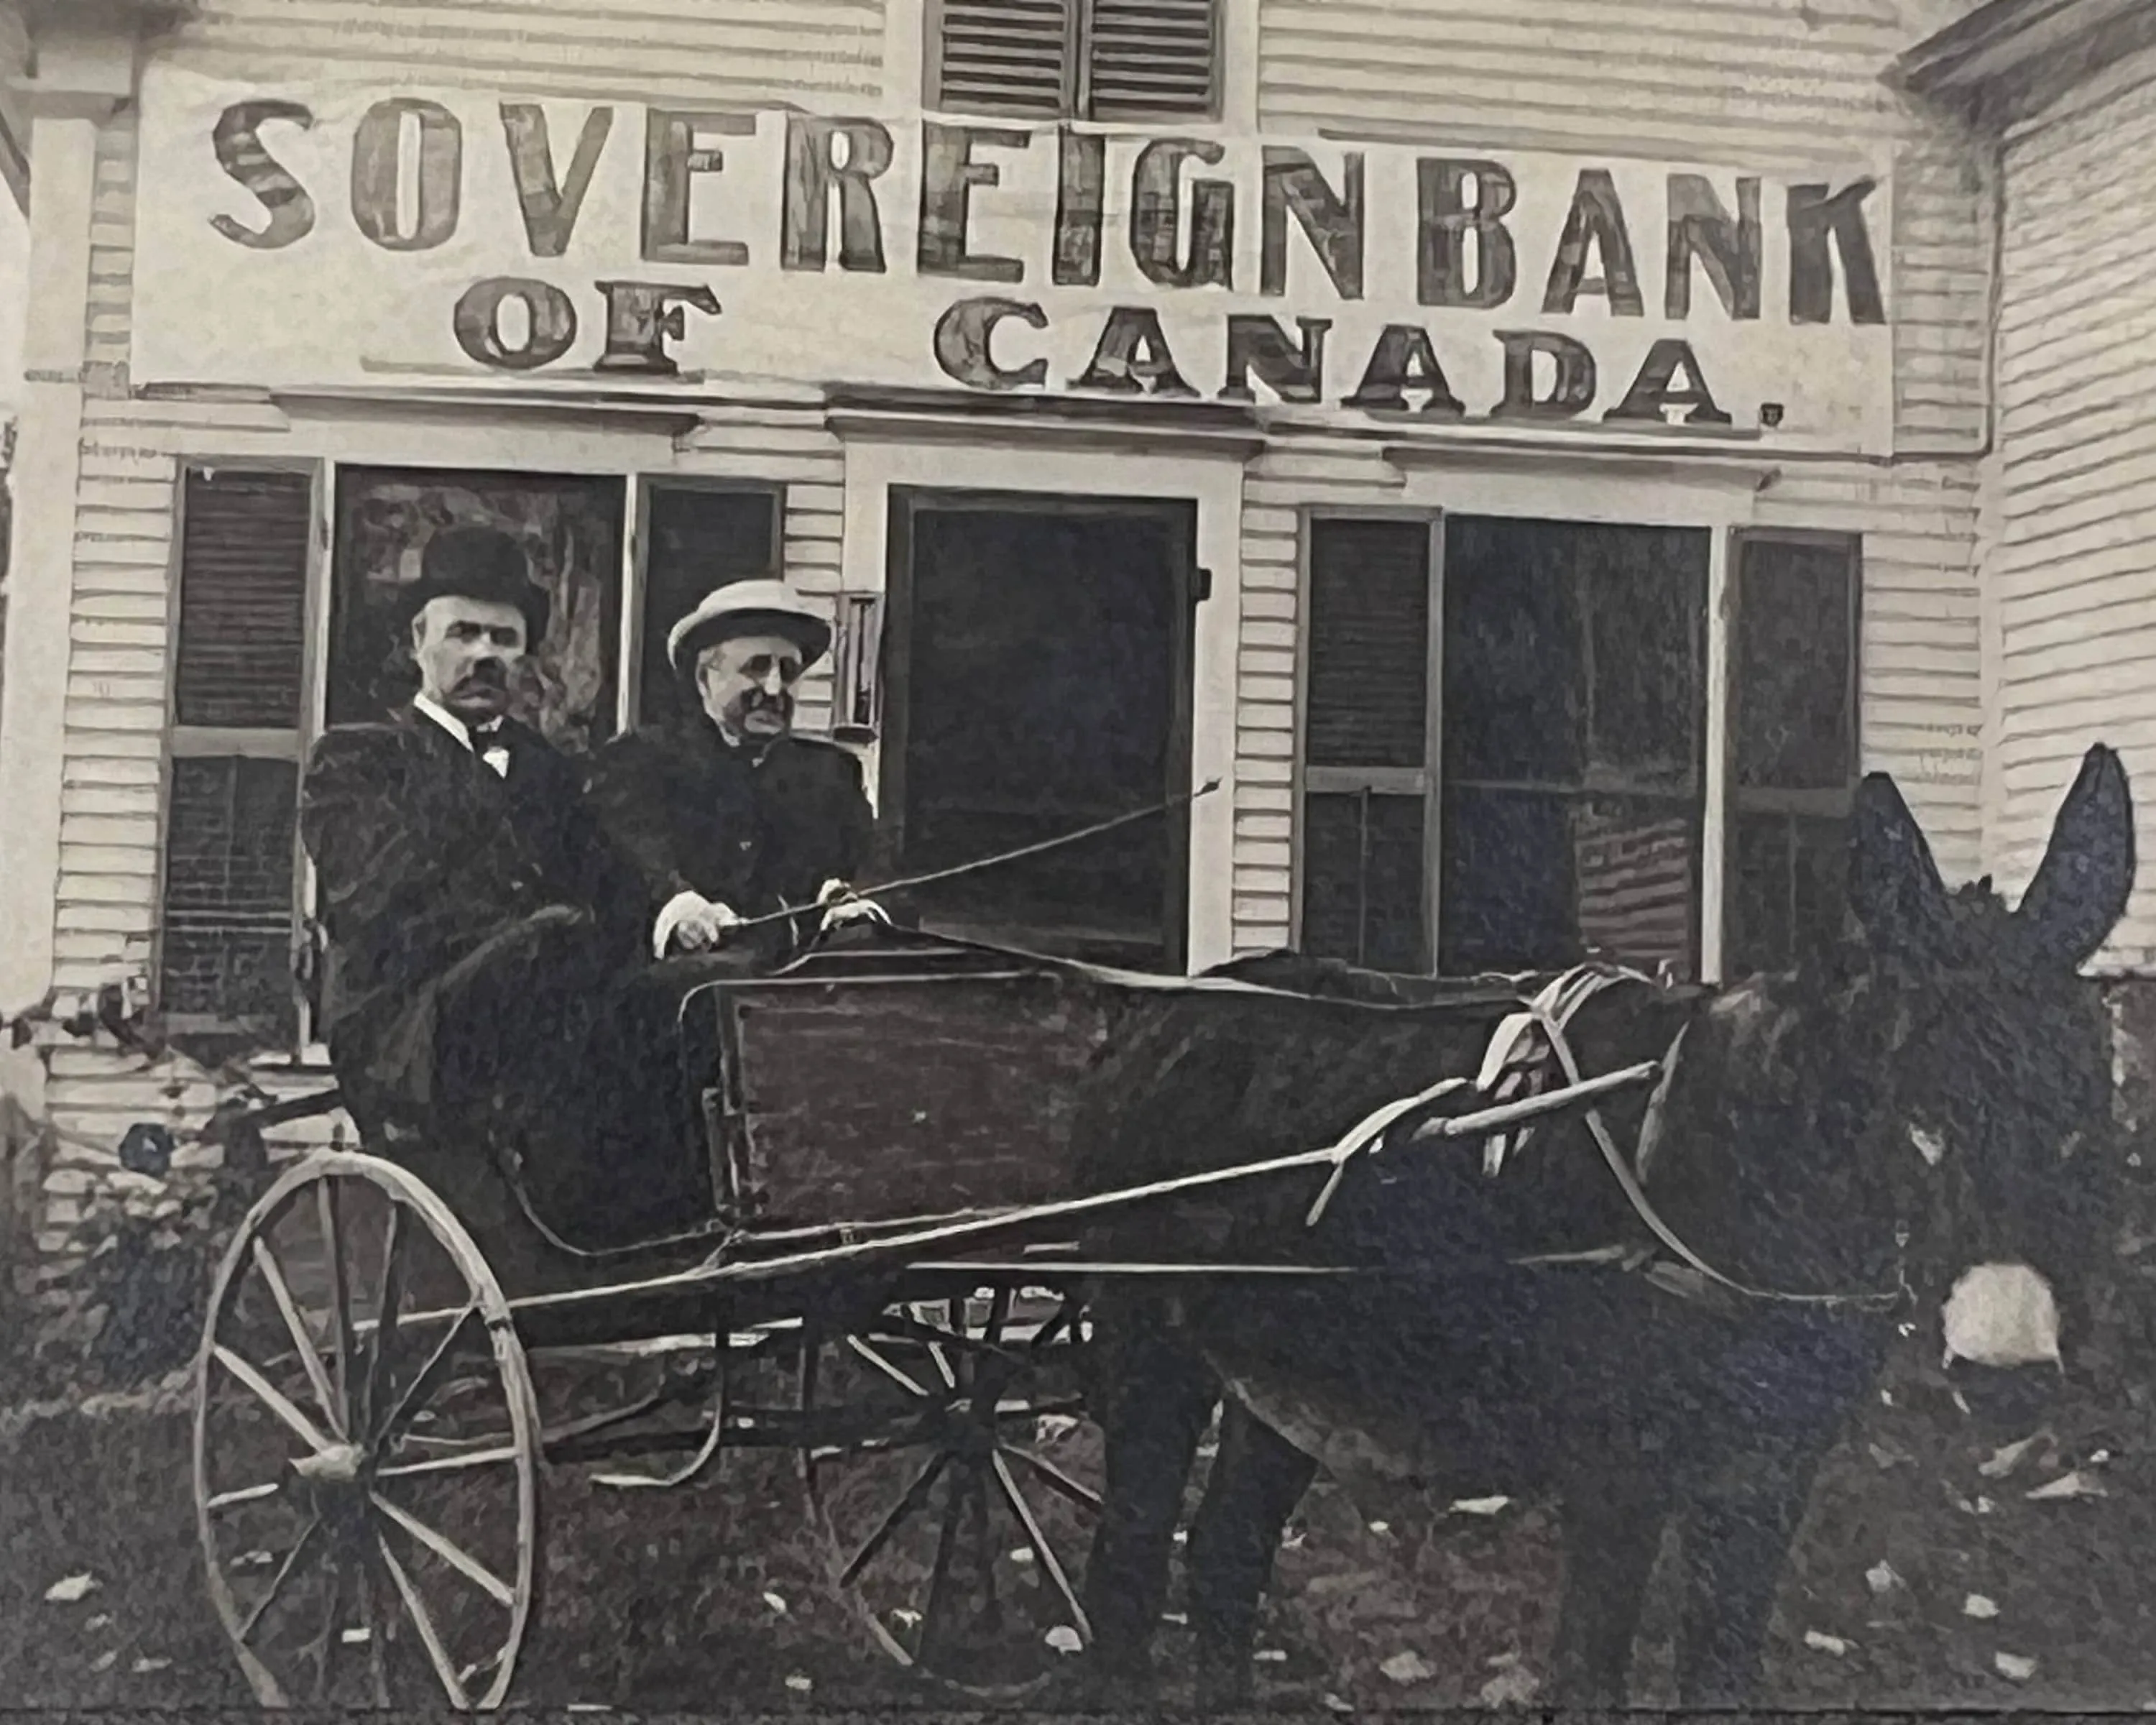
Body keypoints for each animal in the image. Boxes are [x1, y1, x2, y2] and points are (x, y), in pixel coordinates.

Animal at [1078, 746, 2139, 1708]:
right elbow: (1590, 1672)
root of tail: (1162, 1011)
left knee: (1224, 1560)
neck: (1754, 1190)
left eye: (2085, 1106)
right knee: (1126, 1569)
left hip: (1285, 1378)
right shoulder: (1618, 1480)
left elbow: (1723, 1679)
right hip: (1153, 1349)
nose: (2007, 1377)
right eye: (1916, 1116)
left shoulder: (1765, 1483)